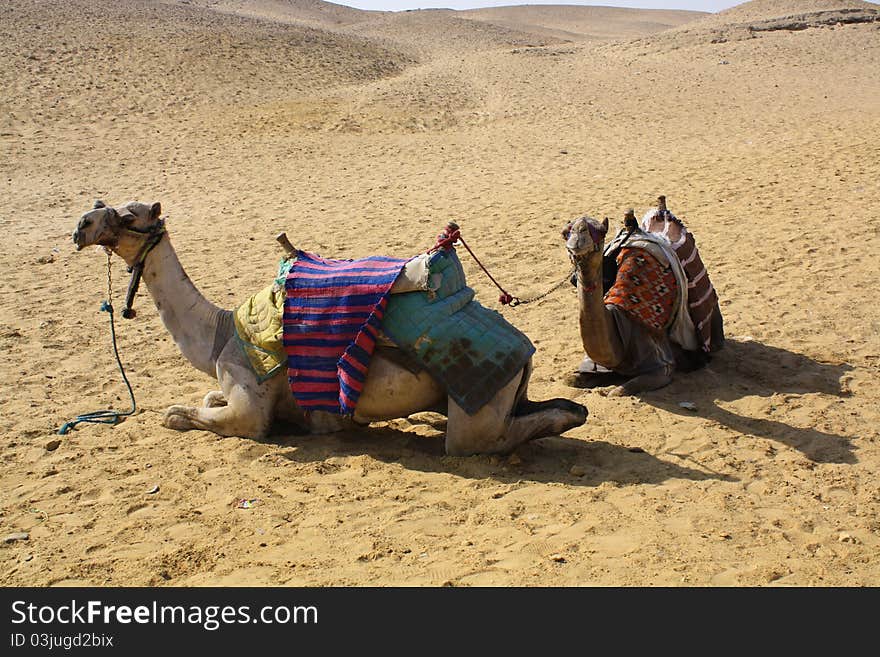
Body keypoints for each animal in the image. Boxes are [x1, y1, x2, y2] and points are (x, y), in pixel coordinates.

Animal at [72, 200, 588, 456]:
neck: (219, 332)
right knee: (553, 409)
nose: (81, 225)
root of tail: (523, 351)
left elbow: (178, 414)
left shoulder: (249, 412)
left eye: (127, 216)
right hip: (507, 392)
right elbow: (206, 397)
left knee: (492, 437)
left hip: (476, 415)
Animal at [564, 197, 720, 398]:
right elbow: (571, 379)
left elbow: (619, 391)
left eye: (600, 231)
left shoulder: (661, 365)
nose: (578, 235)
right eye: (566, 232)